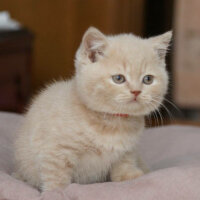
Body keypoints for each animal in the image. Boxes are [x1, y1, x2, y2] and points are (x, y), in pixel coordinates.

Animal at [13, 26, 172, 191]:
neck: (112, 122)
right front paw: (56, 191)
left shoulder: (128, 151)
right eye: (118, 78)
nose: (136, 91)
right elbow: (56, 176)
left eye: (148, 79)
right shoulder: (56, 151)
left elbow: (124, 165)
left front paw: (131, 177)